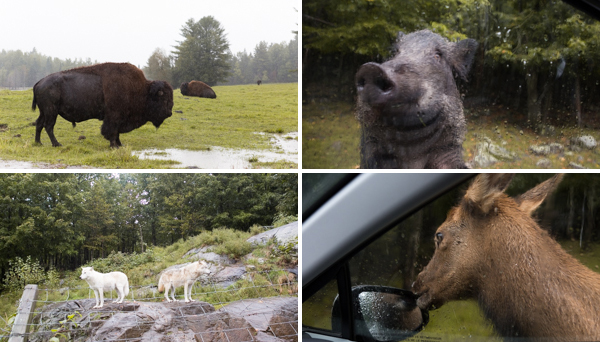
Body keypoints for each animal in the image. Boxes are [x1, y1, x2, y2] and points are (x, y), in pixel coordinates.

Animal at [31, 62, 173, 148]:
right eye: (163, 97)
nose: (169, 112)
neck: (142, 90)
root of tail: (39, 82)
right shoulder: (114, 117)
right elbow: (112, 131)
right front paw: (114, 146)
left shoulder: (118, 118)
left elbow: (116, 132)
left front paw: (119, 145)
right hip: (51, 111)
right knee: (48, 126)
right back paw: (57, 144)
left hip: (44, 112)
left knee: (39, 124)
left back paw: (38, 143)